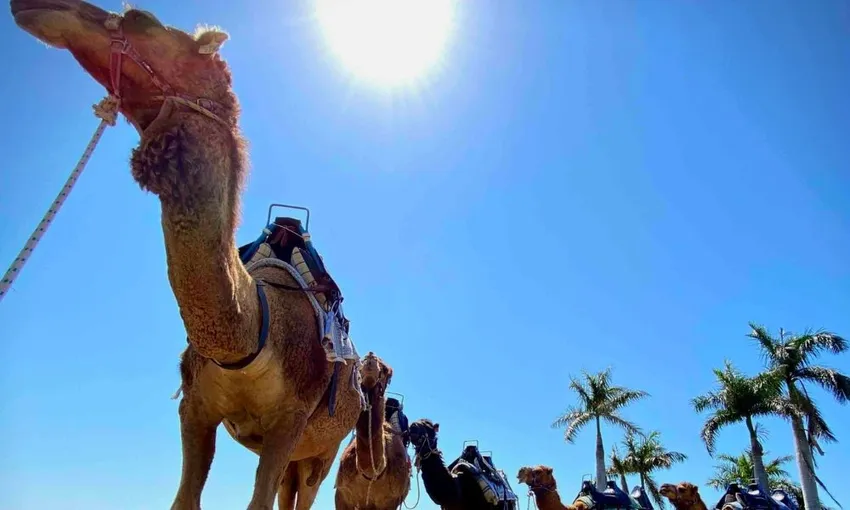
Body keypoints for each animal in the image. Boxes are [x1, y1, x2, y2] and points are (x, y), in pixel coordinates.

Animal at [10, 1, 363, 509]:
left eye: (142, 21)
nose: (39, 6)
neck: (254, 331)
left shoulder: (290, 422)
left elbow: (258, 500)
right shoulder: (196, 407)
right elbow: (185, 498)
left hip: (326, 447)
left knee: (304, 489)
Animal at [334, 352, 411, 510]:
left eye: (387, 371)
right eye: (359, 364)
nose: (371, 357)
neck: (372, 474)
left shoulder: (390, 502)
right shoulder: (341, 495)